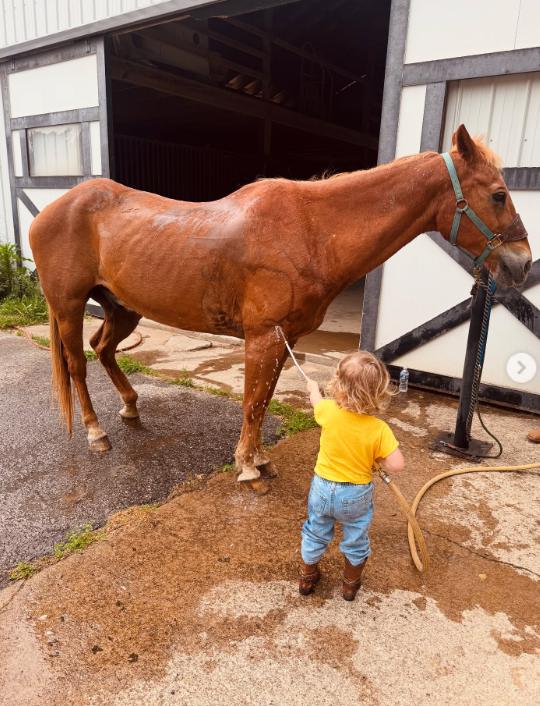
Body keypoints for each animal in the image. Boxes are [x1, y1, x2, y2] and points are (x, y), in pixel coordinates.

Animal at [29, 125, 531, 493]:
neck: (312, 230)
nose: (523, 264)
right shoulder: (263, 336)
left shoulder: (280, 340)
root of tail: (53, 209)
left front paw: (259, 460)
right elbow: (253, 402)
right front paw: (248, 470)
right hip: (68, 306)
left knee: (104, 348)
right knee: (77, 363)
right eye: (498, 194)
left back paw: (131, 408)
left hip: (122, 307)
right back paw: (96, 433)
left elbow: (264, 399)